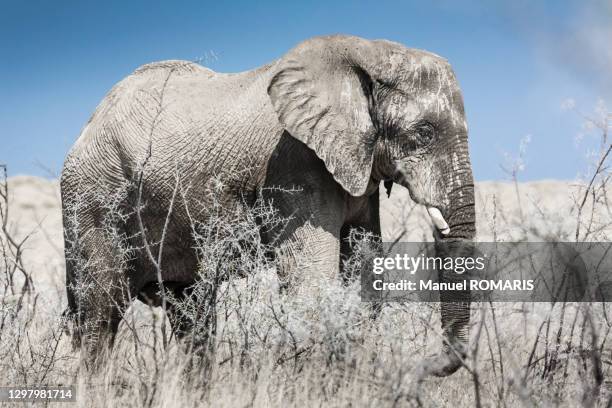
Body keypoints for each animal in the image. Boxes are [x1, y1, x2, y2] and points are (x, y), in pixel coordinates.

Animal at [61, 35, 474, 376]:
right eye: (424, 133)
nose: (419, 365)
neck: (366, 51)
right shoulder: (295, 162)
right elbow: (311, 280)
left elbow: (364, 270)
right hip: (93, 200)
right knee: (100, 316)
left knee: (193, 314)